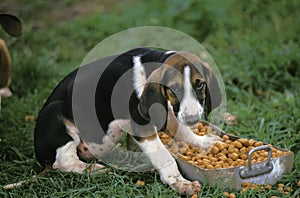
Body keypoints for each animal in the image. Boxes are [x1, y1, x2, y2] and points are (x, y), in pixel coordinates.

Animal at [34, 47, 221, 195]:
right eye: (174, 88)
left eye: (200, 85)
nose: (192, 118)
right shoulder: (144, 125)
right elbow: (164, 156)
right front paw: (180, 183)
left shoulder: (166, 111)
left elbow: (183, 131)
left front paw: (203, 142)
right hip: (54, 113)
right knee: (63, 163)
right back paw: (97, 170)